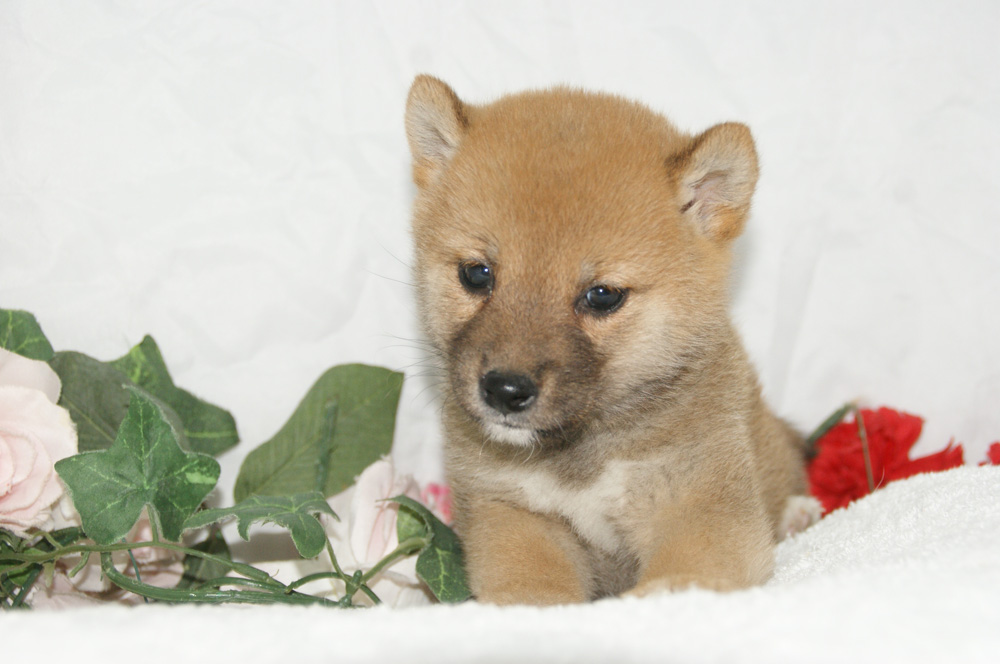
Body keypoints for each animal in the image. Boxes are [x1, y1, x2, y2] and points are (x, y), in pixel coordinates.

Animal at [402, 75, 816, 604]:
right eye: (477, 274)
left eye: (602, 296)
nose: (505, 390)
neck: (584, 456)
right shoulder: (513, 513)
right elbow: (533, 588)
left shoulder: (701, 506)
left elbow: (685, 573)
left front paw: (662, 595)